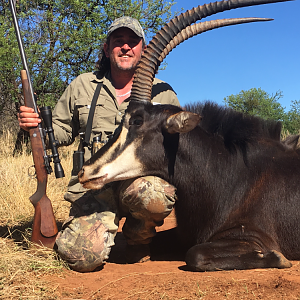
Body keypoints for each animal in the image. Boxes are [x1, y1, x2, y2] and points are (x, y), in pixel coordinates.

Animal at [78, 0, 298, 272]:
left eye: (137, 121)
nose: (85, 171)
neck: (231, 175)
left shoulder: (254, 235)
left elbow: (196, 254)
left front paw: (277, 258)